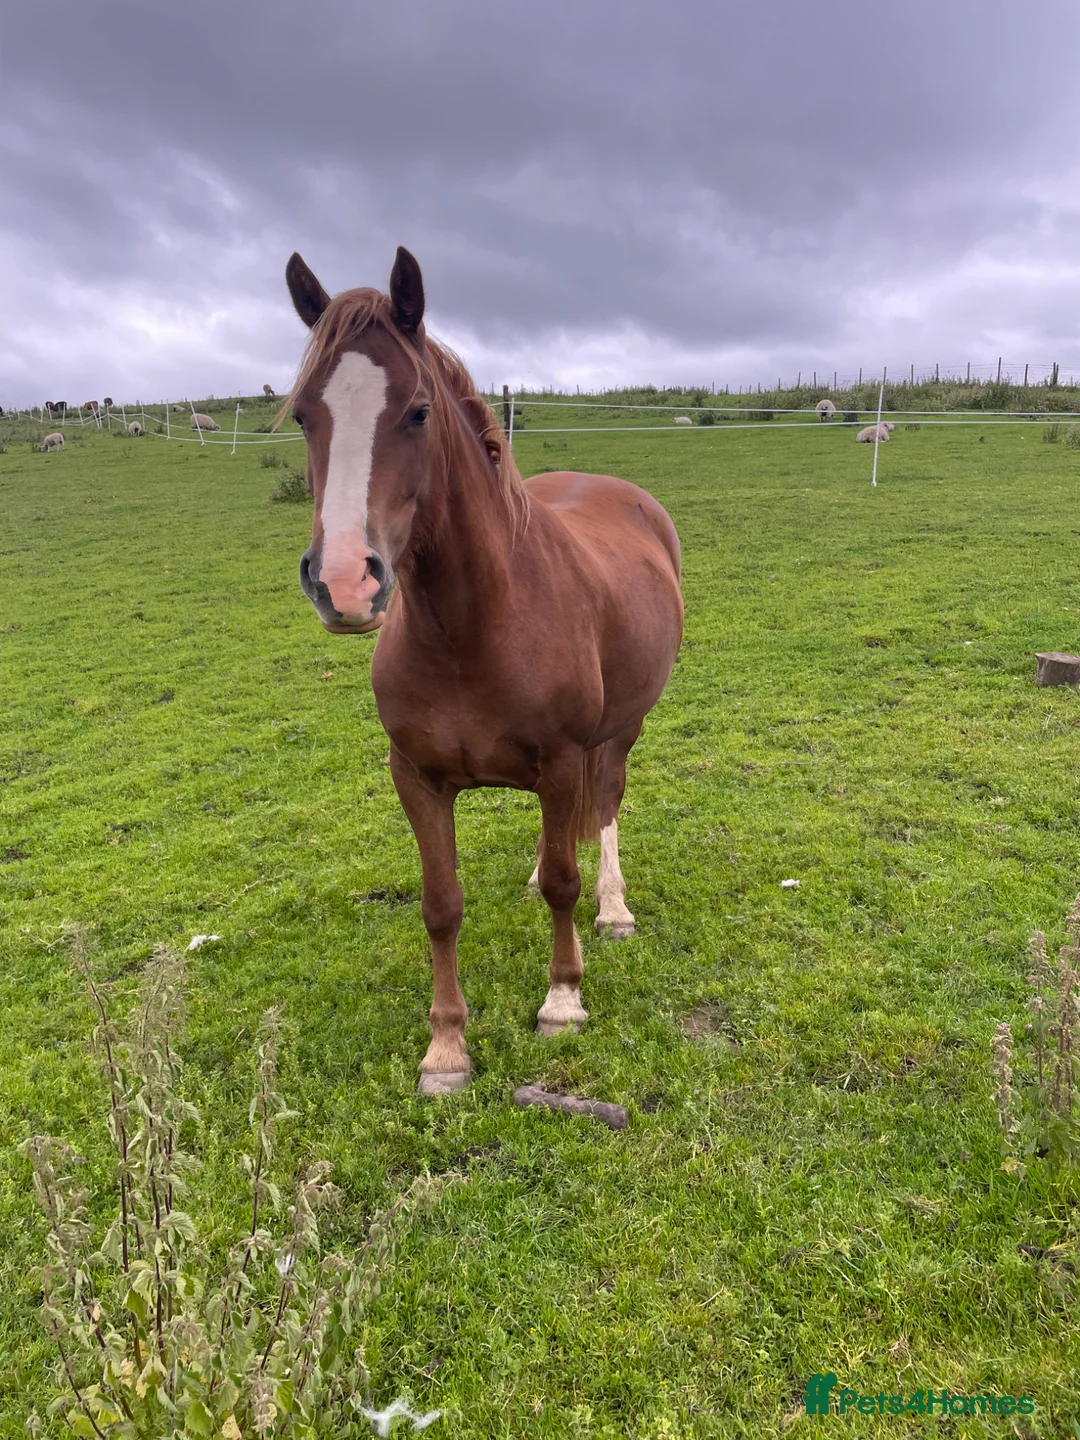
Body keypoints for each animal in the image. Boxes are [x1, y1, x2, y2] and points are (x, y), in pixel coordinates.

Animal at [283, 247, 684, 1094]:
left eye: (417, 411)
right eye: (303, 413)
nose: (345, 582)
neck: (470, 629)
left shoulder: (563, 757)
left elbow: (566, 881)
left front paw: (562, 1000)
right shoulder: (416, 777)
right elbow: (441, 903)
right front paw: (446, 1046)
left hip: (623, 728)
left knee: (603, 804)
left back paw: (613, 910)